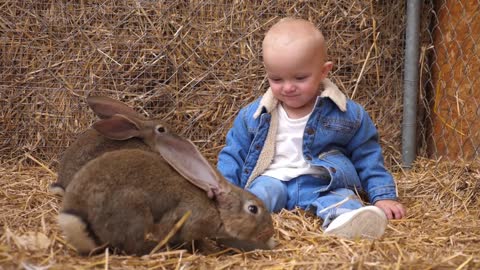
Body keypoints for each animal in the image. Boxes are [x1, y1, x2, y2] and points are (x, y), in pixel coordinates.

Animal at [57, 118, 274, 255]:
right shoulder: (190, 222)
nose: (269, 232)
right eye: (253, 209)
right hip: (135, 211)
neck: (217, 209)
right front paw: (208, 250)